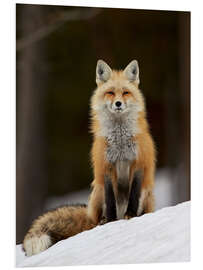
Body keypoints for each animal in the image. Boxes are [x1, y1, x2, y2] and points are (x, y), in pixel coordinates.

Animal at [22, 60, 155, 256]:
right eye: (110, 93)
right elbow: (110, 199)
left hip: (147, 193)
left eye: (125, 92)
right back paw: (102, 221)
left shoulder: (138, 164)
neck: (120, 141)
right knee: (97, 217)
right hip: (97, 191)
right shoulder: (105, 166)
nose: (118, 103)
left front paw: (130, 216)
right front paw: (111, 222)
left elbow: (134, 194)